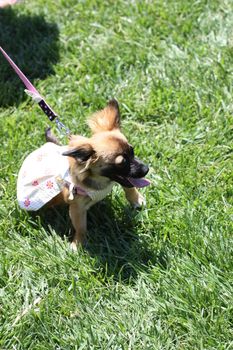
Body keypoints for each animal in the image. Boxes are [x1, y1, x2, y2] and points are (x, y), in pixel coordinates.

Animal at [17, 100, 149, 250]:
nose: (146, 169)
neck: (102, 181)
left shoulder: (126, 179)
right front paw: (78, 244)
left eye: (132, 151)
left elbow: (129, 185)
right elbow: (81, 228)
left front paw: (136, 200)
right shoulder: (77, 209)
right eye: (122, 163)